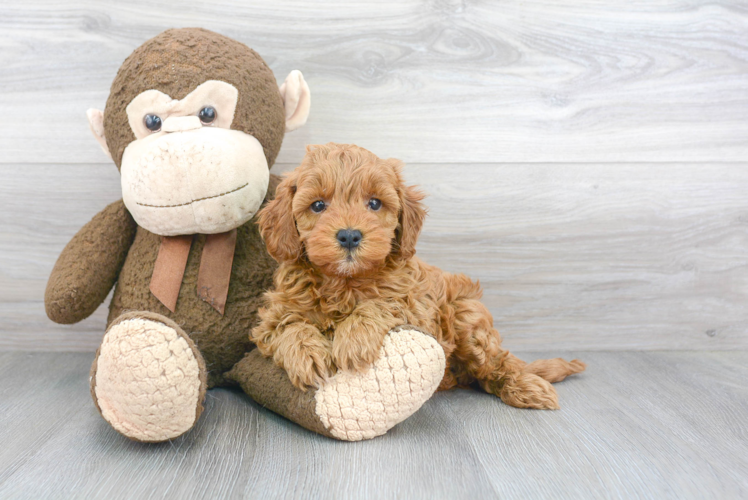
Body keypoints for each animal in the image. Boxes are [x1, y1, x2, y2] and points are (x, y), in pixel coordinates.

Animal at [251, 143, 584, 408]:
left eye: (374, 203)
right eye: (318, 205)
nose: (349, 236)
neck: (345, 281)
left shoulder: (416, 307)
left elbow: (380, 304)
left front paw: (354, 338)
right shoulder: (272, 316)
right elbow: (288, 325)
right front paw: (307, 355)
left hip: (466, 316)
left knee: (496, 364)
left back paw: (525, 386)